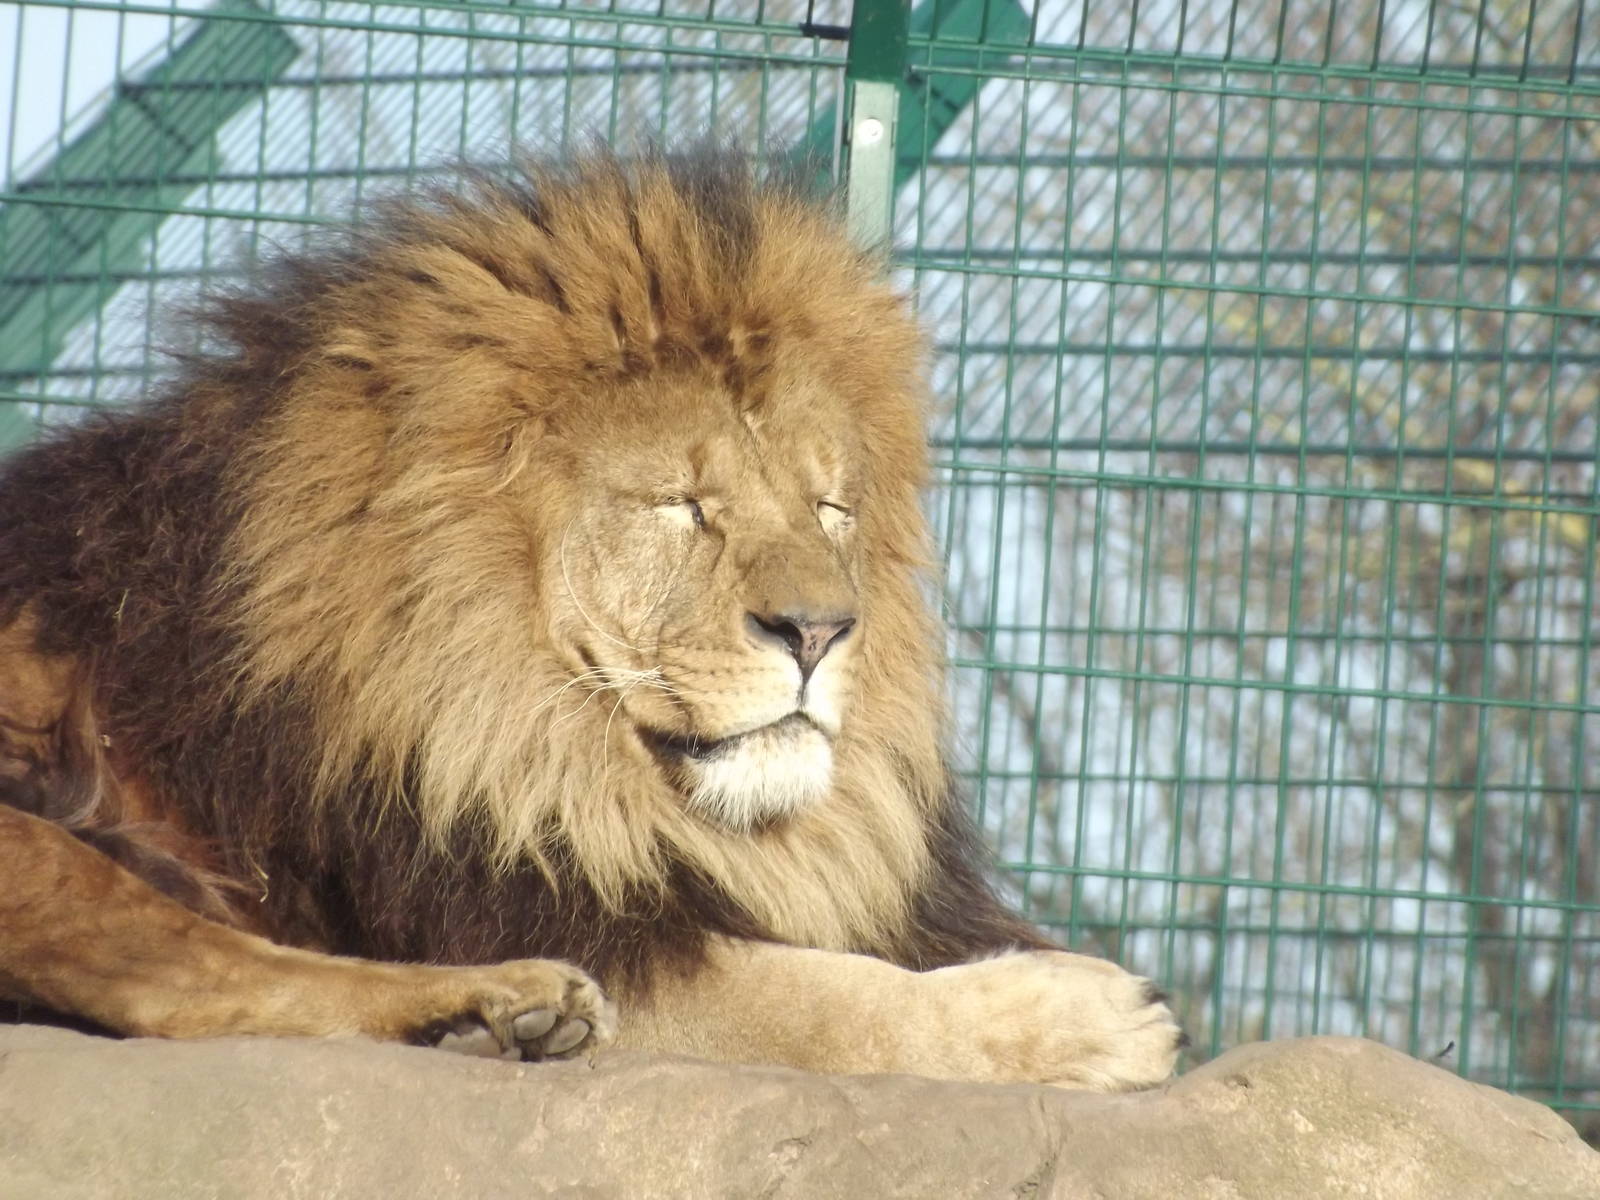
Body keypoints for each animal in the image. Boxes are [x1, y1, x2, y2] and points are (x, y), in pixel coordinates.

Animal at [0, 149, 1183, 1088]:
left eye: (829, 507)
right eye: (681, 504)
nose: (818, 632)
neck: (552, 755)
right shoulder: (567, 924)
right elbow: (819, 1001)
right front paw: (1090, 1018)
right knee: (181, 973)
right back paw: (498, 1007)